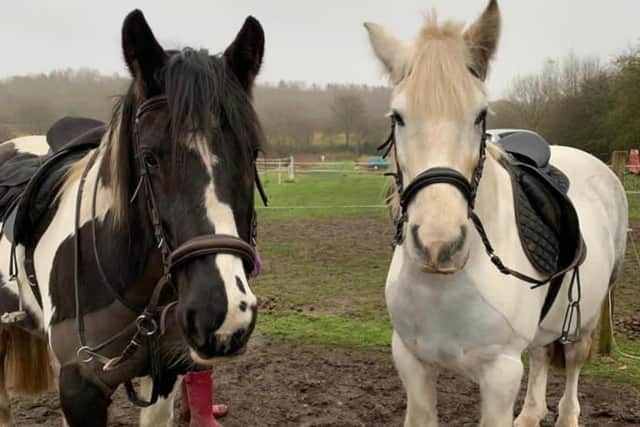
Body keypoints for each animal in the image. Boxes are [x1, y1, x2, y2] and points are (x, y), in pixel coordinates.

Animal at [364, 1, 628, 426]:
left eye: (480, 115)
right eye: (397, 117)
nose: (439, 246)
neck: (443, 287)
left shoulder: (500, 375)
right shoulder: (412, 362)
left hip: (584, 320)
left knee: (572, 364)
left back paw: (566, 415)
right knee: (541, 354)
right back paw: (531, 414)